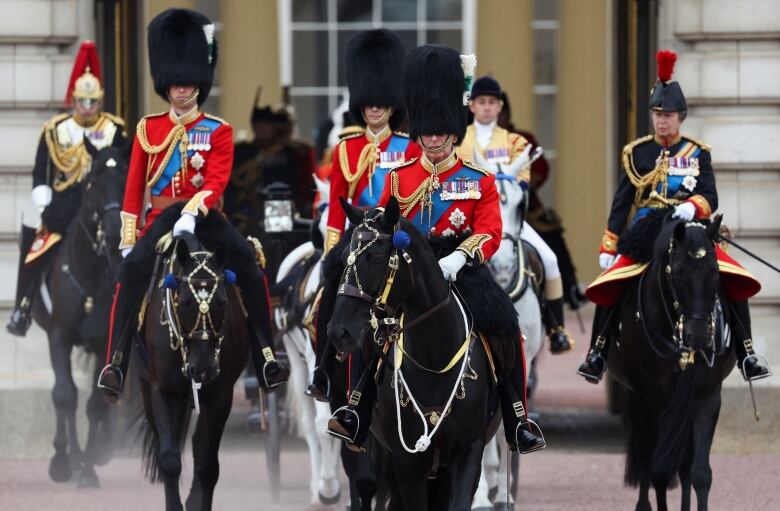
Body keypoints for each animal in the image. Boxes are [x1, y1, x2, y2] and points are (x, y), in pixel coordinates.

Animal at [29, 142, 125, 490]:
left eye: (126, 177)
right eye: (93, 181)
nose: (114, 233)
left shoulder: (103, 341)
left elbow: (95, 404)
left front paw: (88, 468)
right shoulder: (58, 335)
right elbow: (64, 396)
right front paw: (61, 461)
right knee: (67, 397)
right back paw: (69, 457)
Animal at [136, 233, 247, 511]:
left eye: (221, 302)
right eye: (184, 302)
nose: (203, 368)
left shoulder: (220, 397)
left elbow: (208, 465)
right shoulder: (163, 392)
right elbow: (169, 459)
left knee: (198, 445)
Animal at [324, 198, 496, 510]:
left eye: (377, 259)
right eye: (344, 257)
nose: (339, 332)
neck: (434, 360)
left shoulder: (468, 451)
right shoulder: (406, 460)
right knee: (367, 485)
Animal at [608, 217, 736, 511]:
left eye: (715, 271)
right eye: (677, 273)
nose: (698, 337)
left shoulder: (706, 397)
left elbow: (700, 473)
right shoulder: (650, 399)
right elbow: (659, 470)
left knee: (685, 465)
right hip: (637, 402)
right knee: (648, 459)